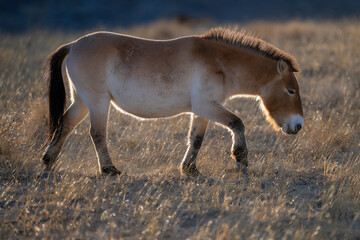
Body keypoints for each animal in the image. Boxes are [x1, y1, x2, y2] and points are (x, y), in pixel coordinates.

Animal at [40, 27, 302, 176]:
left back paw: (48, 161)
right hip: (97, 102)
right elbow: (237, 123)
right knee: (96, 134)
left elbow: (196, 139)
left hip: (82, 102)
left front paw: (190, 169)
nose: (297, 125)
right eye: (290, 90)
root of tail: (73, 45)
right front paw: (241, 158)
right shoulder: (207, 106)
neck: (219, 61)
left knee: (64, 126)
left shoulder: (201, 110)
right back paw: (108, 170)